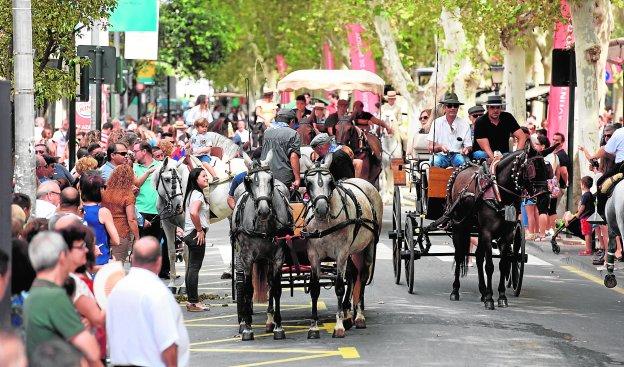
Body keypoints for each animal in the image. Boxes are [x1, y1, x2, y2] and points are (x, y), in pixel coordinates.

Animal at [230, 152, 294, 342]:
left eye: (270, 179)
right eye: (249, 180)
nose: (264, 210)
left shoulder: (278, 256)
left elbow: (276, 288)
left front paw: (278, 326)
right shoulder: (247, 257)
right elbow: (248, 289)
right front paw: (247, 328)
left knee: (270, 283)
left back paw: (270, 319)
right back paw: (244, 321)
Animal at [302, 157, 382, 338]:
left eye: (330, 182)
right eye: (308, 183)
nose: (321, 209)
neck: (324, 223)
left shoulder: (341, 253)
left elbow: (339, 287)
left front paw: (338, 326)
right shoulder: (313, 255)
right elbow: (315, 288)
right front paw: (313, 327)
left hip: (367, 246)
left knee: (362, 275)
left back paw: (358, 316)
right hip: (352, 252)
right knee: (352, 275)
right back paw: (347, 313)